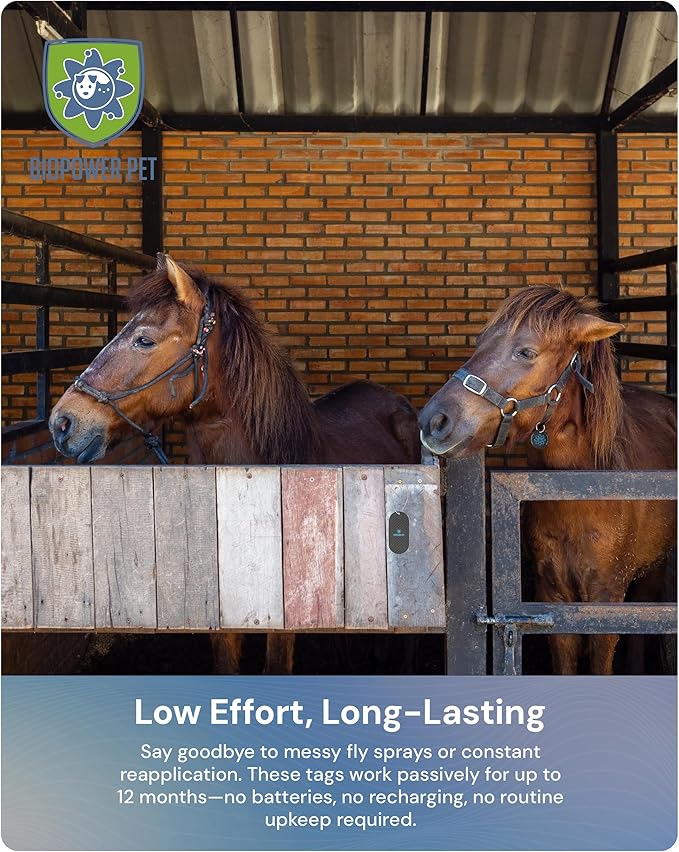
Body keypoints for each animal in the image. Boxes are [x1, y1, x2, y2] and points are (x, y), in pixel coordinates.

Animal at [419, 285, 676, 675]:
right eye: (480, 342)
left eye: (526, 352)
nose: (433, 420)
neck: (581, 497)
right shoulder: (551, 600)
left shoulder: (605, 601)